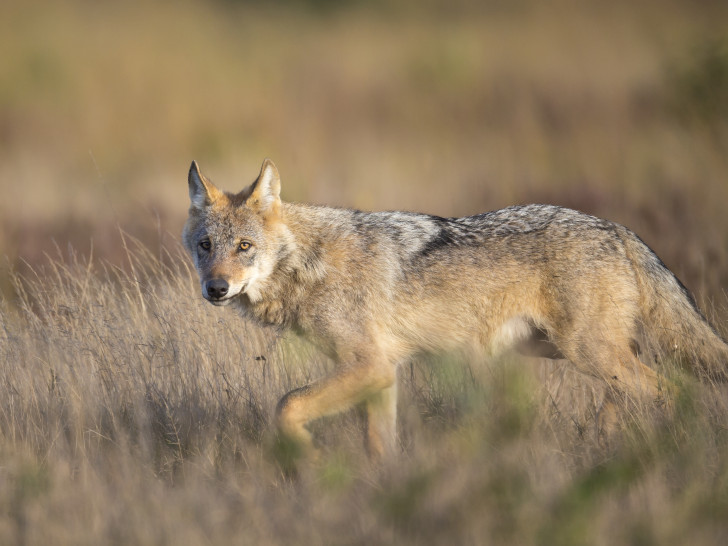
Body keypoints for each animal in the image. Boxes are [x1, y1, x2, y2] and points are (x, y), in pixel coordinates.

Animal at [183, 158, 728, 460]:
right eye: (206, 246)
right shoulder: (382, 373)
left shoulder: (370, 365)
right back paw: (607, 441)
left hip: (585, 352)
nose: (216, 289)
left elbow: (287, 406)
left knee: (669, 390)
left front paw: (310, 463)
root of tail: (619, 229)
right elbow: (380, 447)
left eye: (245, 247)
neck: (308, 261)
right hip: (571, 352)